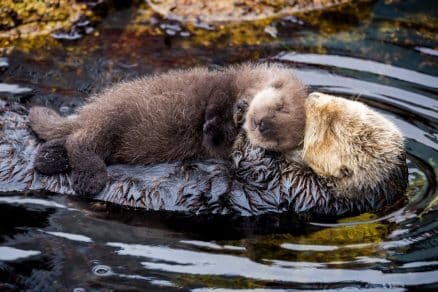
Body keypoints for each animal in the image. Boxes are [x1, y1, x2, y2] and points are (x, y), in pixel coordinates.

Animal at [27, 64, 308, 196]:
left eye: (280, 140)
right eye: (281, 107)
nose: (264, 126)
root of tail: (91, 110)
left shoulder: (221, 149)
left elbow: (218, 145)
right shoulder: (223, 86)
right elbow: (216, 104)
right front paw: (221, 119)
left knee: (72, 141)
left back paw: (48, 158)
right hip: (112, 117)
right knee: (80, 141)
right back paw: (88, 179)